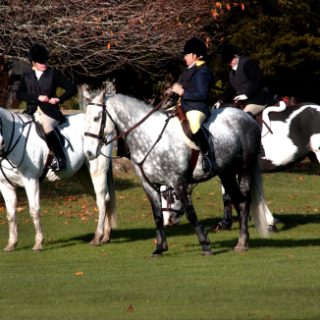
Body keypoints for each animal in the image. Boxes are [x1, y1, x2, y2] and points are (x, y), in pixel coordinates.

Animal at [0, 109, 117, 251]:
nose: (0, 143)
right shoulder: (5, 185)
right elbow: (10, 214)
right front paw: (11, 244)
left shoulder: (31, 181)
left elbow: (34, 210)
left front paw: (38, 243)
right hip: (84, 174)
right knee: (103, 200)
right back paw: (105, 235)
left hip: (98, 171)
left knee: (101, 200)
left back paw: (97, 237)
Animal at [84, 89, 272, 255]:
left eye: (96, 118)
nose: (89, 153)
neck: (150, 137)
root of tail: (246, 116)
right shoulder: (149, 185)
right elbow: (157, 215)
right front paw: (160, 248)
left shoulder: (178, 182)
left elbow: (190, 213)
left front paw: (205, 245)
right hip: (226, 173)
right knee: (237, 200)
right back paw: (241, 241)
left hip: (245, 168)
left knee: (244, 201)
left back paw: (242, 243)